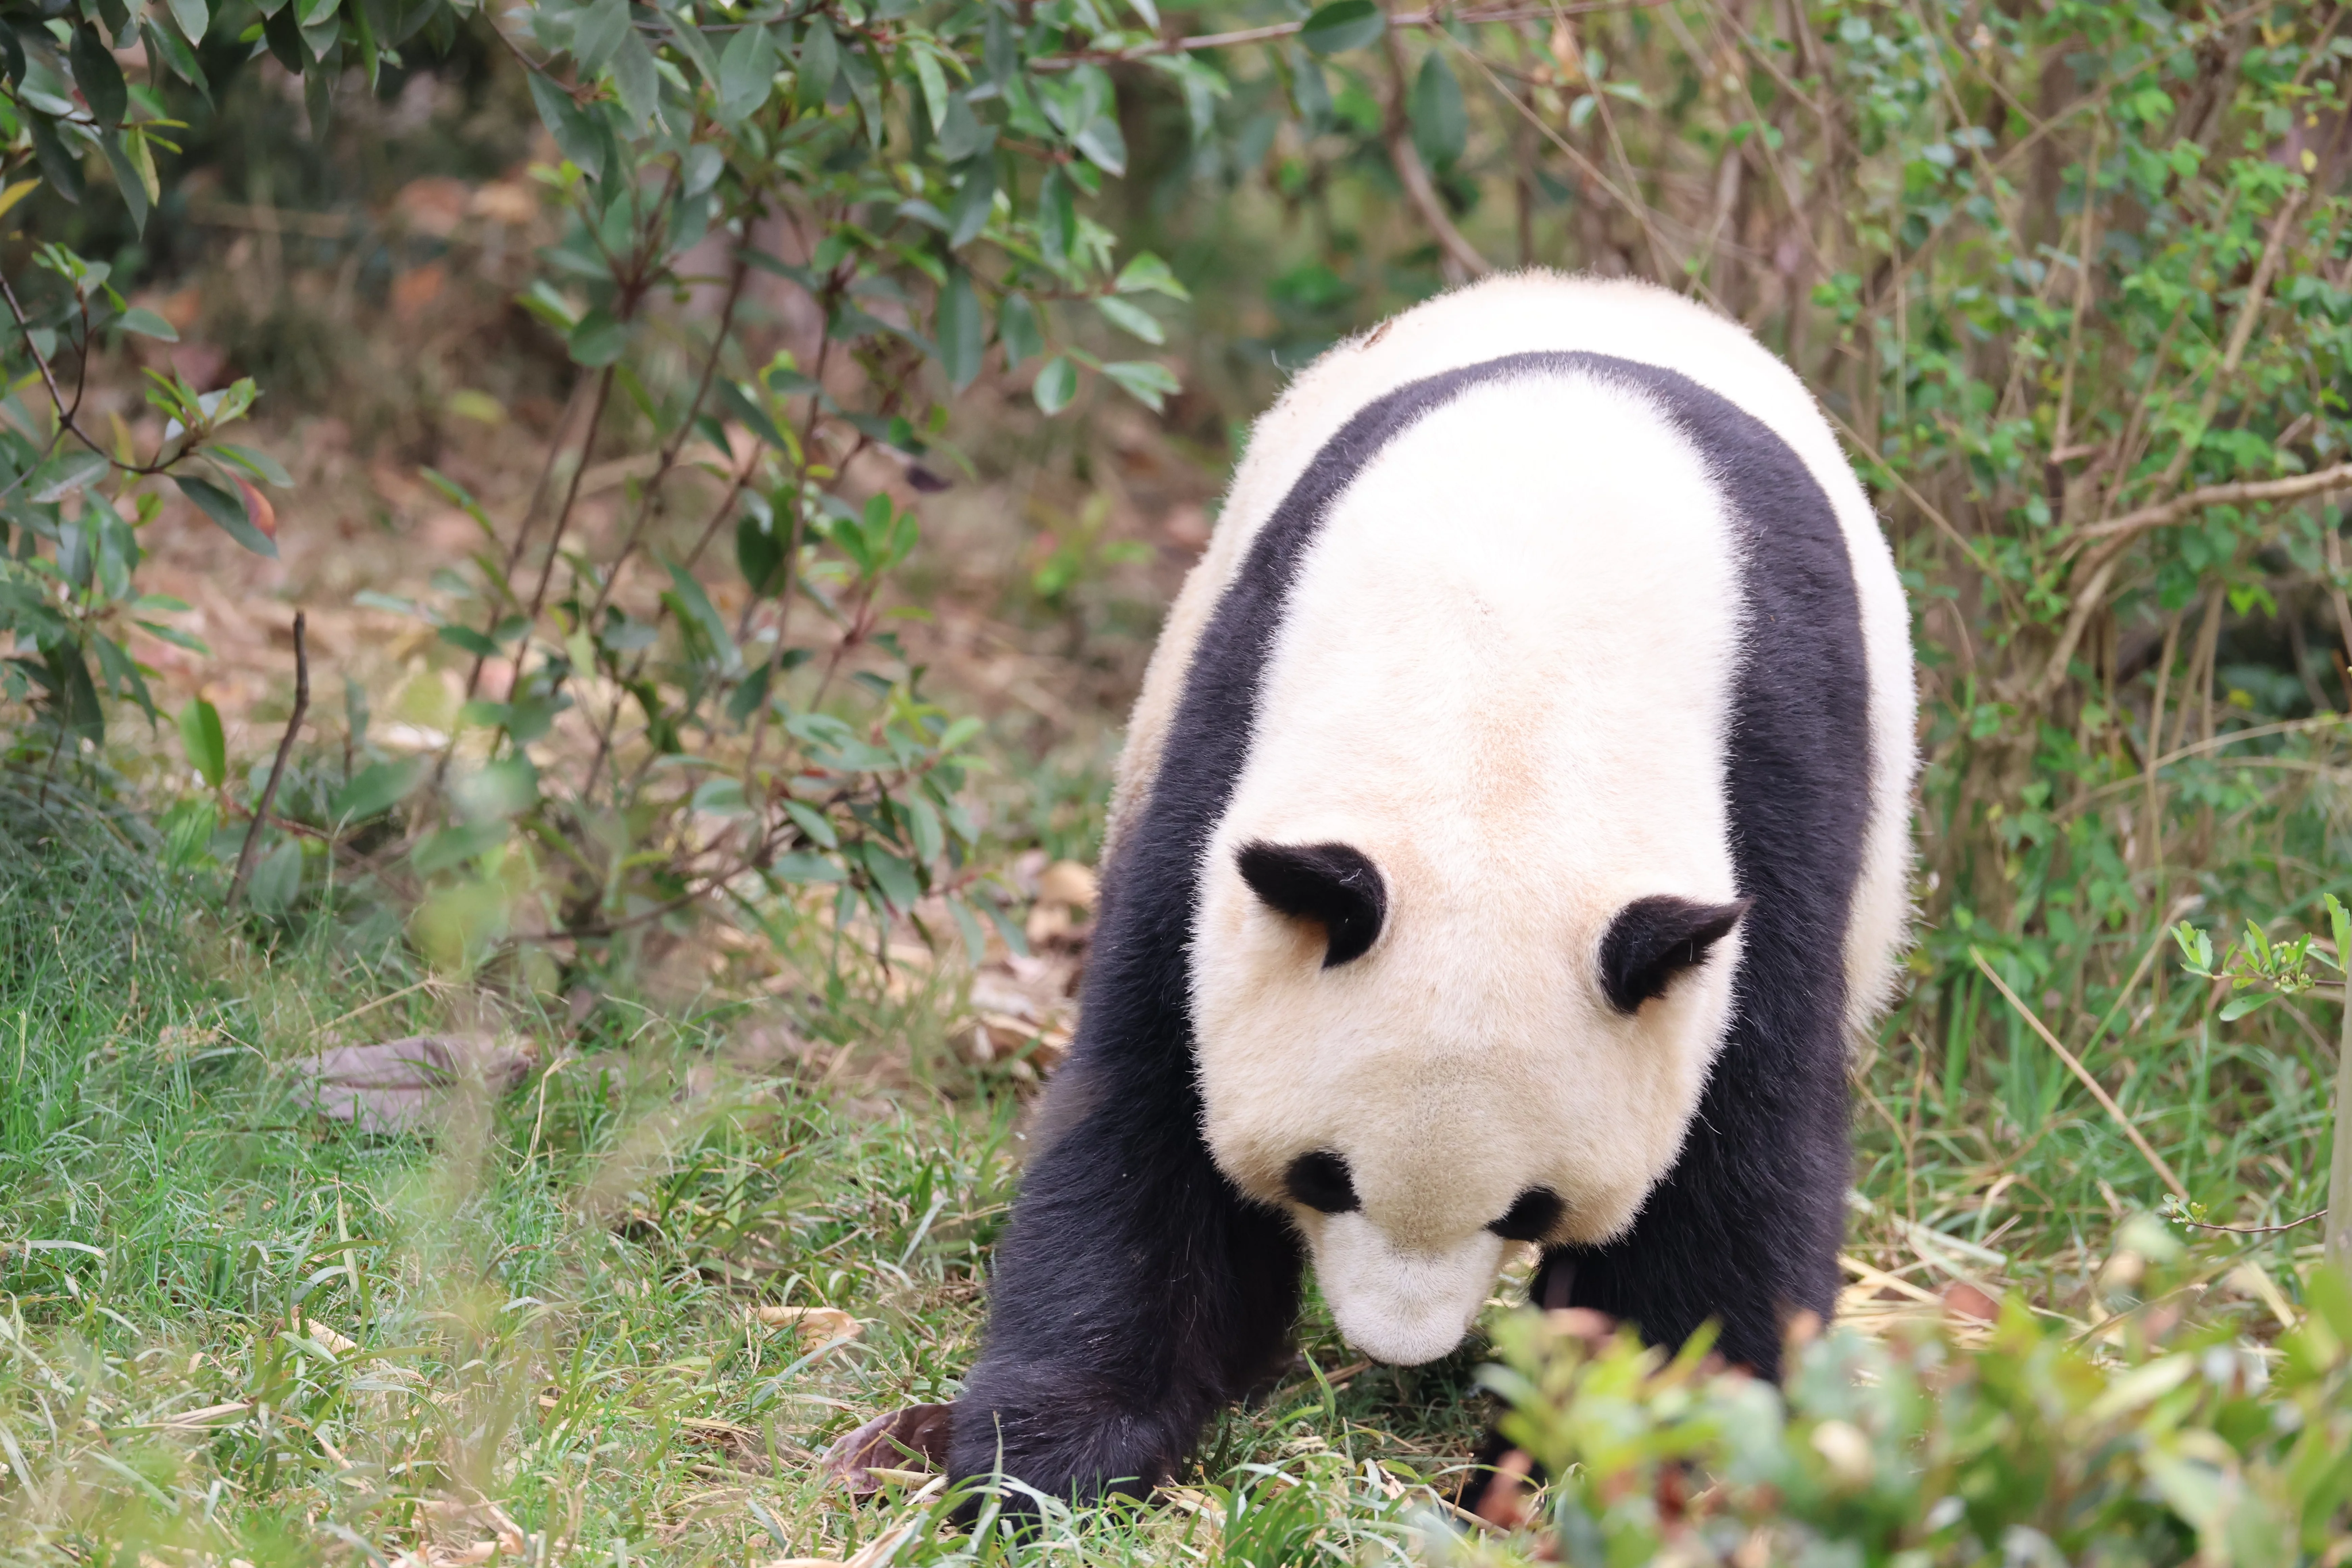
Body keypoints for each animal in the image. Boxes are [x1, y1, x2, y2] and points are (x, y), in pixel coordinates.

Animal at [946, 270, 1916, 1504]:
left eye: (1532, 1206)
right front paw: (1048, 1455)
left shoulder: (1776, 774)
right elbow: (1152, 1084)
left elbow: (1731, 1156)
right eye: (1325, 1177)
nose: (1397, 1346)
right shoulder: (1235, 723)